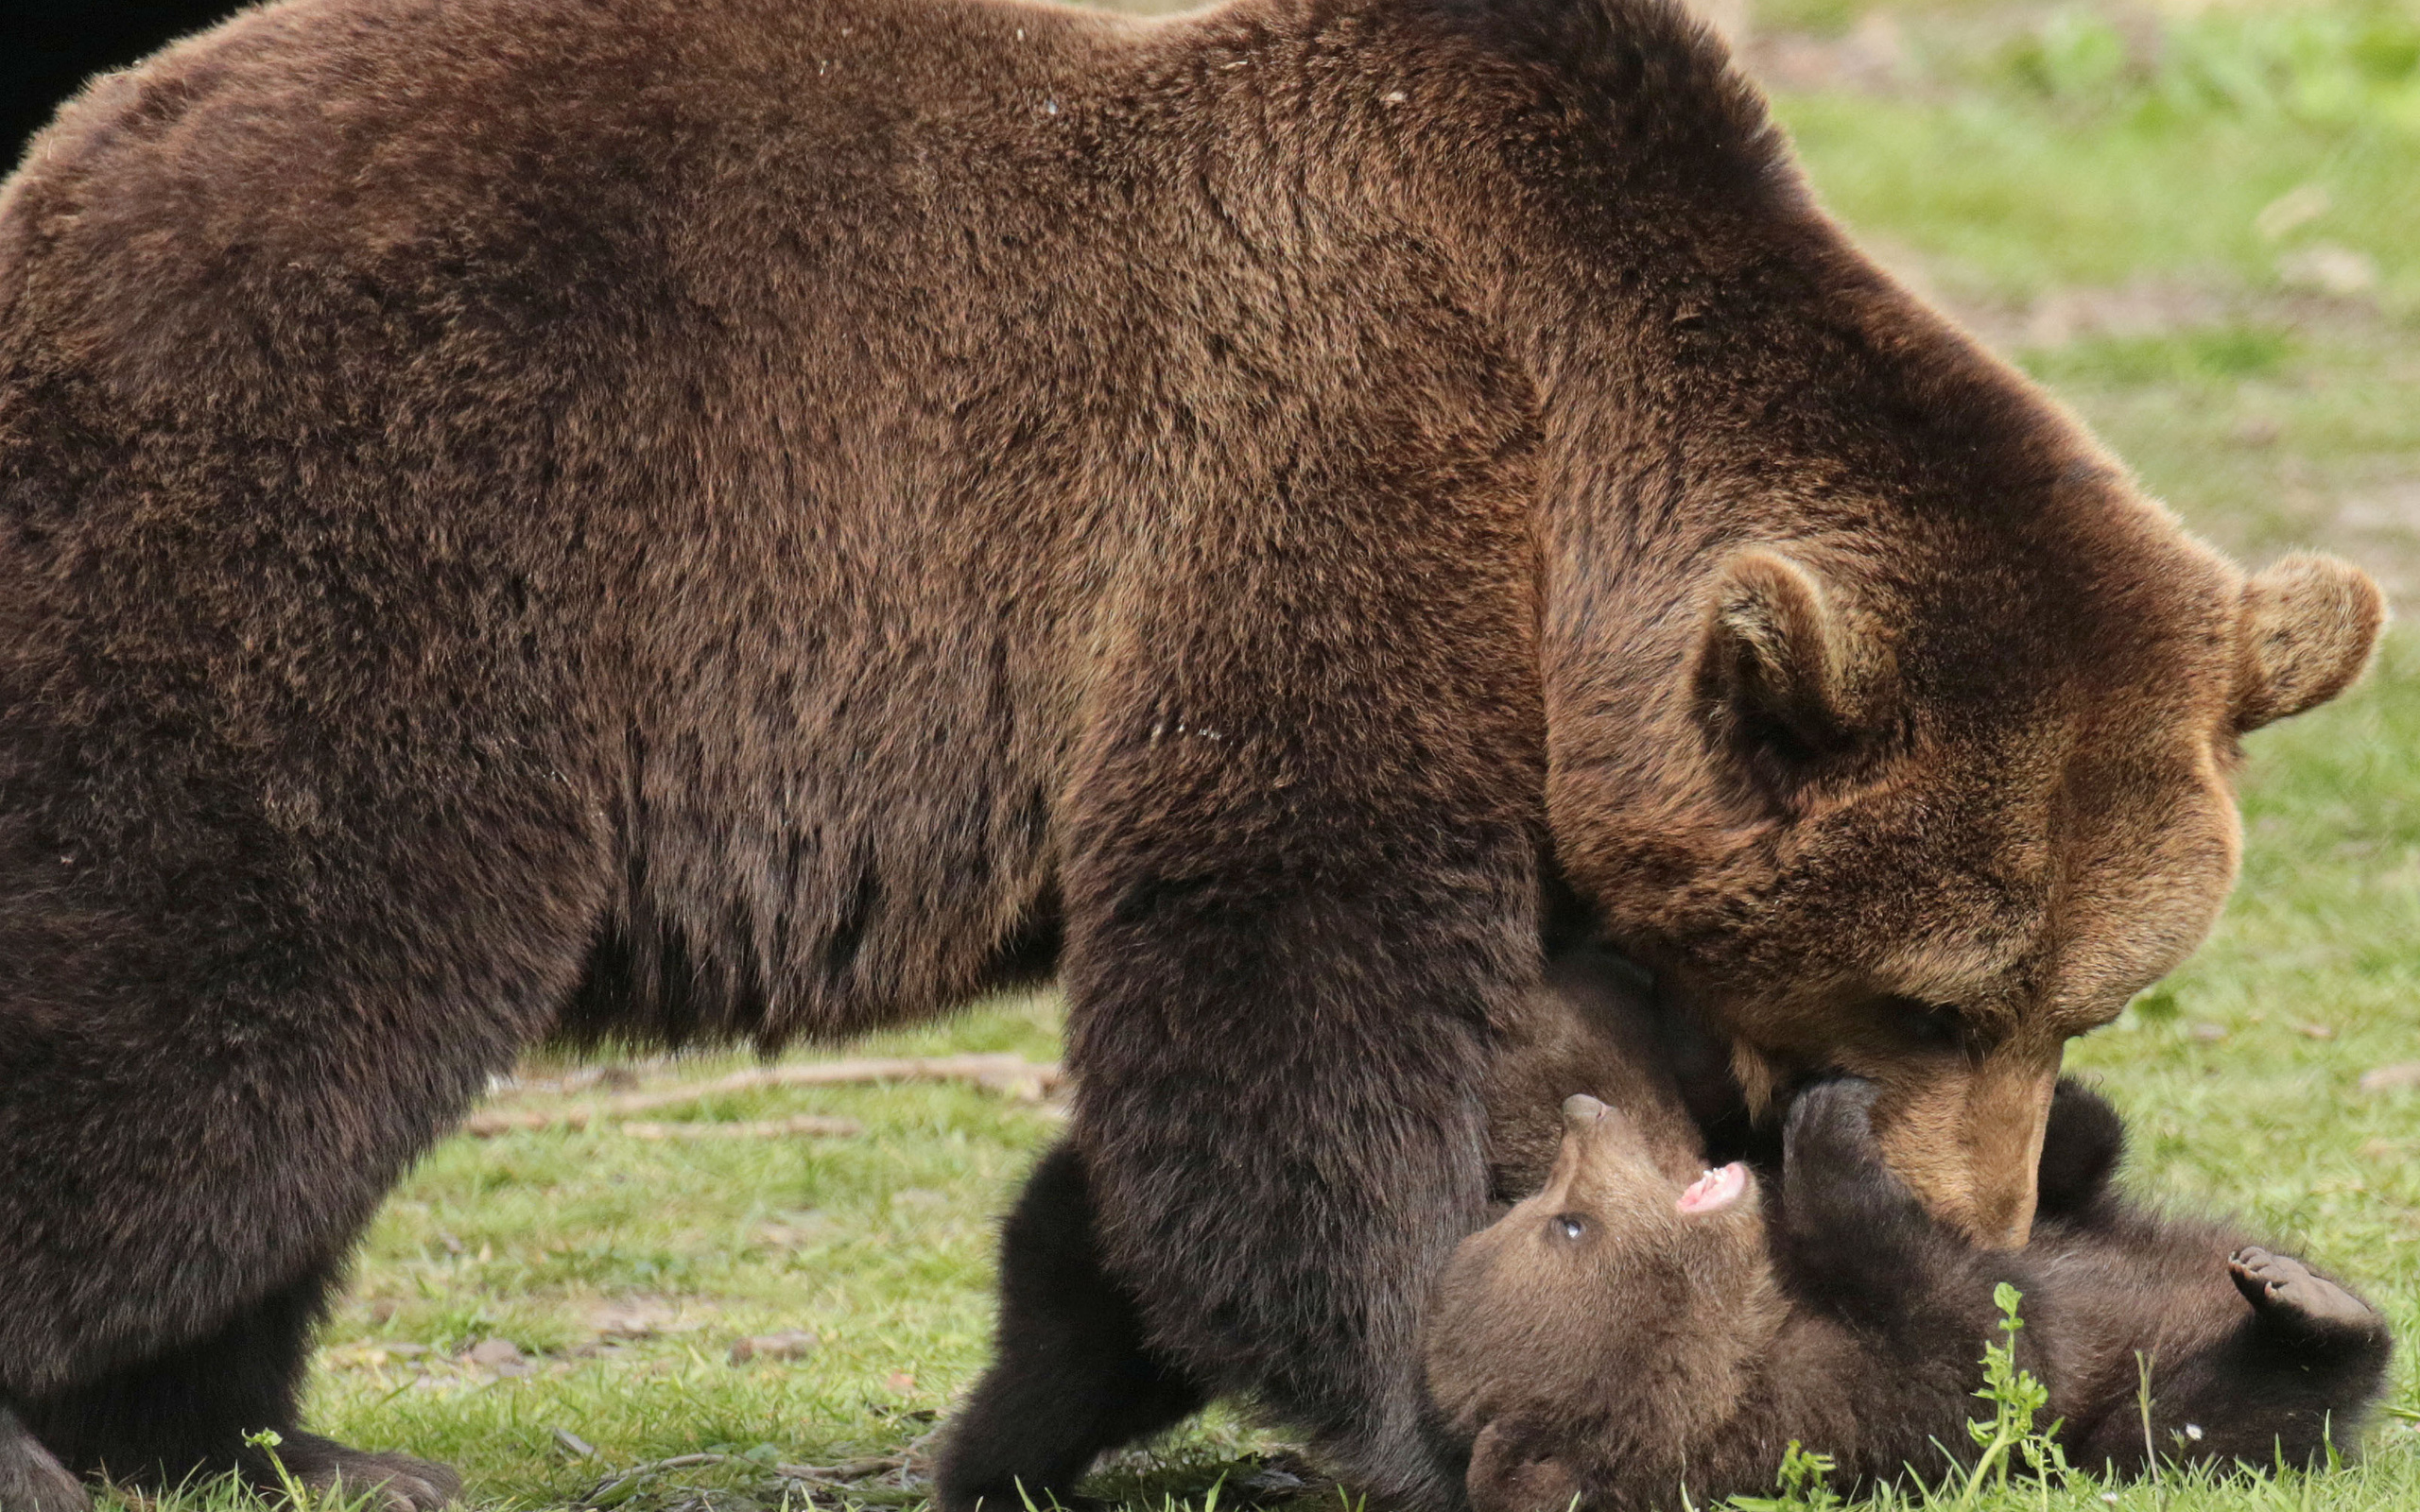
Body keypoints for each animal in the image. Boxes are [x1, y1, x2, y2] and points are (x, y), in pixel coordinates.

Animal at [0, 0, 2381, 1500]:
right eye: (1933, 992)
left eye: (2092, 994)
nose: (1978, 1204)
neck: (1573, 464)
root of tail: (64, 164)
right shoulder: (1311, 479)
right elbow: (1284, 1004)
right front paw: (1425, 1394)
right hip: (362, 546)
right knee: (230, 994)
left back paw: (281, 1440)